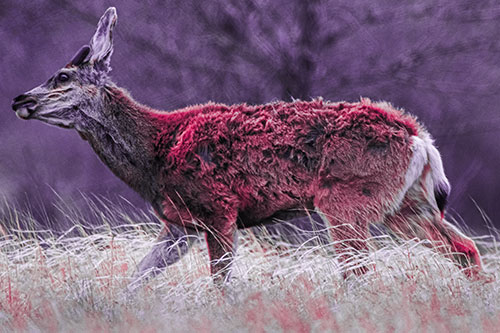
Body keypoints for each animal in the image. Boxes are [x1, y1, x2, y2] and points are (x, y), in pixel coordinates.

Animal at [10, 7, 488, 286]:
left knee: (361, 272)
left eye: (63, 77)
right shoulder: (179, 224)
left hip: (346, 200)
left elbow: (221, 285)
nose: (18, 100)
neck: (154, 153)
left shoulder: (217, 208)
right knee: (465, 251)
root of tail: (419, 139)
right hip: (404, 204)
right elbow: (136, 280)